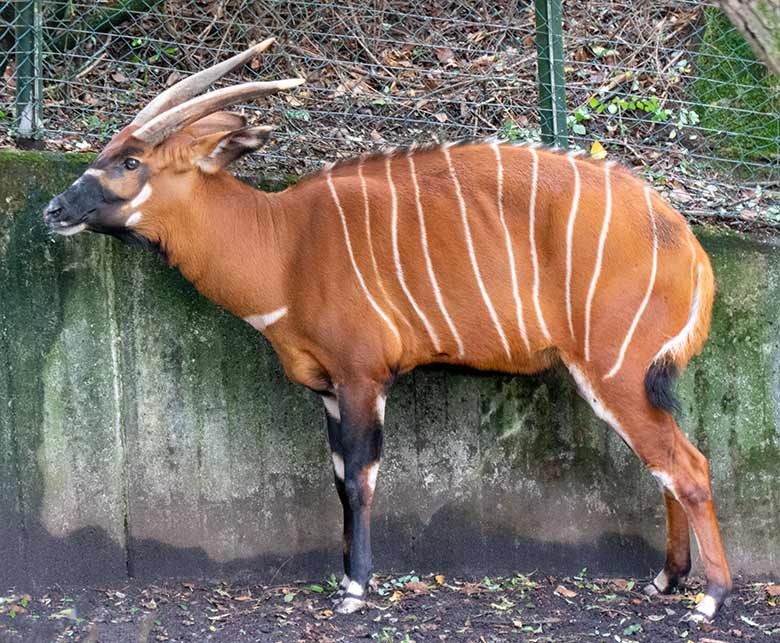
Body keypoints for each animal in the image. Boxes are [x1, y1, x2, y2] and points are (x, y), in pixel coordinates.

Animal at [44, 40, 732, 624]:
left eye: (130, 161)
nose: (53, 209)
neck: (283, 245)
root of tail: (688, 241)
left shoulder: (363, 376)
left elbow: (360, 478)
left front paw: (355, 589)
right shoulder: (328, 389)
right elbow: (338, 480)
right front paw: (348, 577)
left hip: (614, 370)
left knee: (687, 466)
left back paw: (709, 599)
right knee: (666, 465)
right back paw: (666, 580)